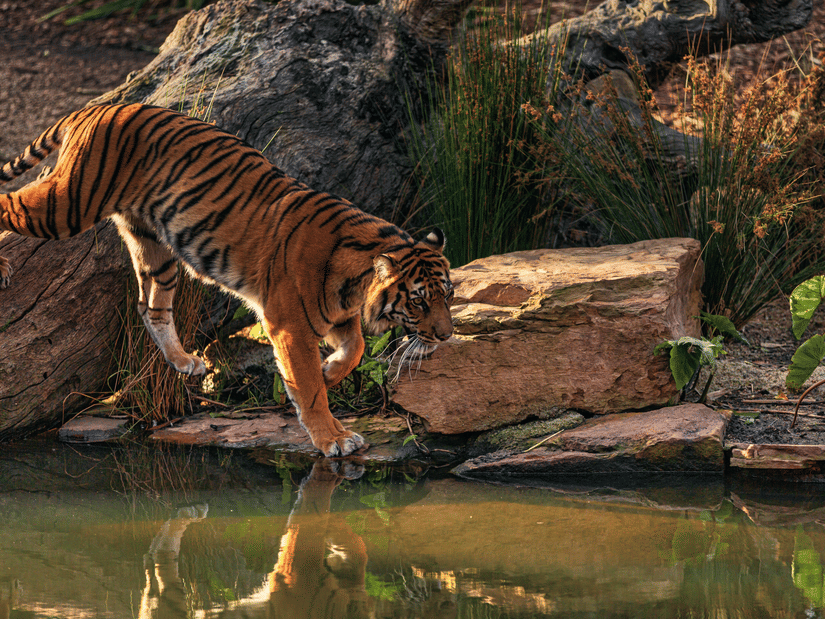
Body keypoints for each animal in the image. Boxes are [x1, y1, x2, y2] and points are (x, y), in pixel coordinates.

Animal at [0, 103, 454, 457]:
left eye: (448, 295)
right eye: (418, 300)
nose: (447, 336)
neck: (356, 283)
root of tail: (98, 107)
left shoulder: (336, 316)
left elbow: (355, 349)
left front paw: (329, 371)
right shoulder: (289, 324)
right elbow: (308, 389)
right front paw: (333, 437)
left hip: (154, 246)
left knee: (150, 307)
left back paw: (184, 361)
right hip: (67, 203)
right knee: (8, 202)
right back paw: (4, 267)